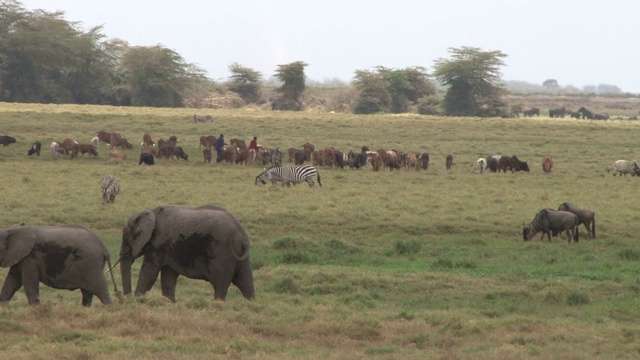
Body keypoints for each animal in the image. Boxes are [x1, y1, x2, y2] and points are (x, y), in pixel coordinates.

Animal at [120, 205, 255, 300]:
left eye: (126, 236)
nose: (127, 297)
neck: (150, 212)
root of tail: (243, 235)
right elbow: (168, 275)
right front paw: (168, 302)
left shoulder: (158, 244)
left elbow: (150, 272)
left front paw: (138, 300)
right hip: (240, 256)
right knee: (246, 282)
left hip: (222, 253)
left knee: (220, 284)